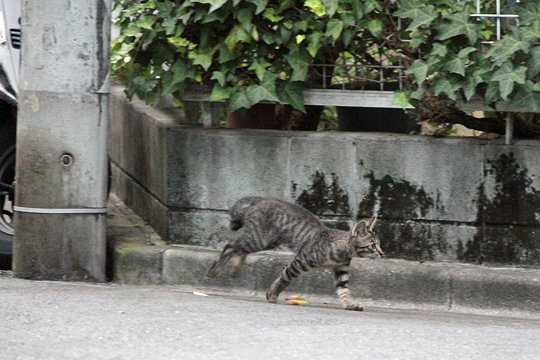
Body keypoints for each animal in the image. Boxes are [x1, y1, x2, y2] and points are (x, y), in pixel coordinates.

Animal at [208, 195, 384, 310]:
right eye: (373, 245)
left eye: (380, 244)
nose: (382, 253)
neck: (341, 251)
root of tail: (261, 200)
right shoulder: (301, 260)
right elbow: (285, 277)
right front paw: (272, 294)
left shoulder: (342, 271)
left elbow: (344, 290)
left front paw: (350, 304)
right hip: (259, 239)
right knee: (230, 246)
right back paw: (213, 271)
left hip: (266, 241)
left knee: (239, 248)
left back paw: (235, 269)